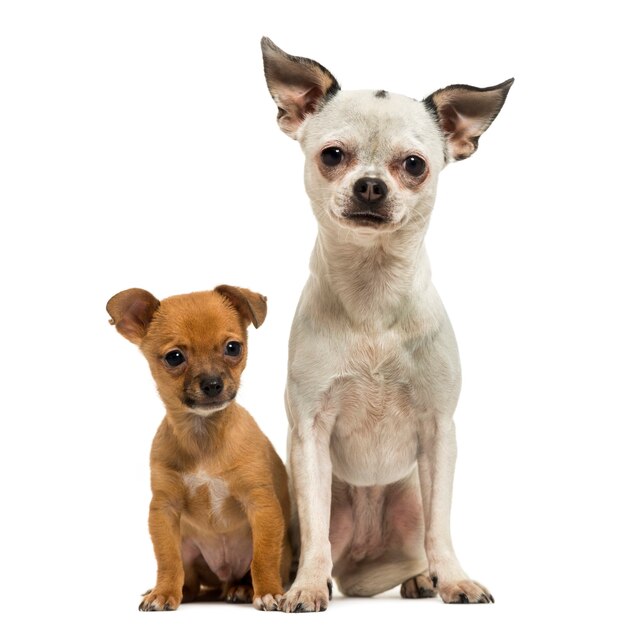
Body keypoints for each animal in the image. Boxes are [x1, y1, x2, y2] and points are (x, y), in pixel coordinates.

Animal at [106, 286, 290, 608]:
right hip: (189, 548)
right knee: (189, 579)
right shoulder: (164, 511)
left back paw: (243, 589)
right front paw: (163, 593)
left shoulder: (262, 506)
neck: (203, 434)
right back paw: (179, 591)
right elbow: (167, 559)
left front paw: (268, 591)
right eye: (174, 357)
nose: (213, 383)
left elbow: (264, 557)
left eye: (233, 348)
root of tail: (223, 580)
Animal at [262, 36, 512, 608]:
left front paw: (454, 579)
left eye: (414, 165)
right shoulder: (309, 433)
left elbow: (441, 526)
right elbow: (316, 533)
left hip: (409, 497)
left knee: (418, 544)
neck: (372, 292)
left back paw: (423, 578)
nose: (371, 186)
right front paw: (307, 586)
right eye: (333, 156)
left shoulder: (438, 433)